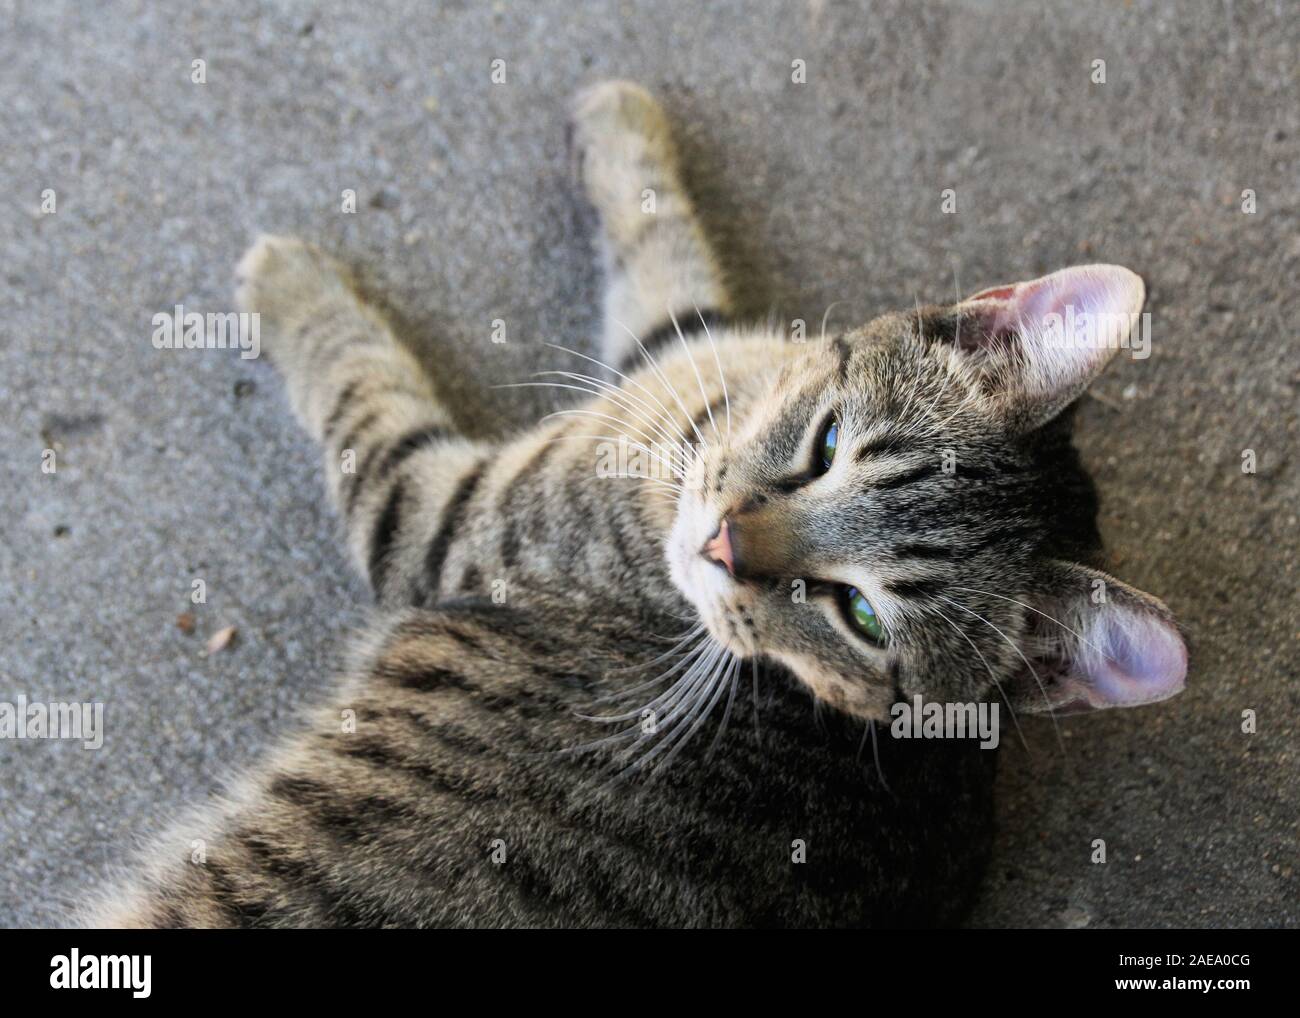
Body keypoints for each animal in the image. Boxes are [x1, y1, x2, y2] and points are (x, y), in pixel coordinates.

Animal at [86, 83, 1185, 925]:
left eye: (864, 619)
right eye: (828, 445)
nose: (724, 546)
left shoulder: (441, 515)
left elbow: (357, 375)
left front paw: (287, 275)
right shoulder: (684, 354)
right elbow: (669, 252)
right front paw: (620, 121)